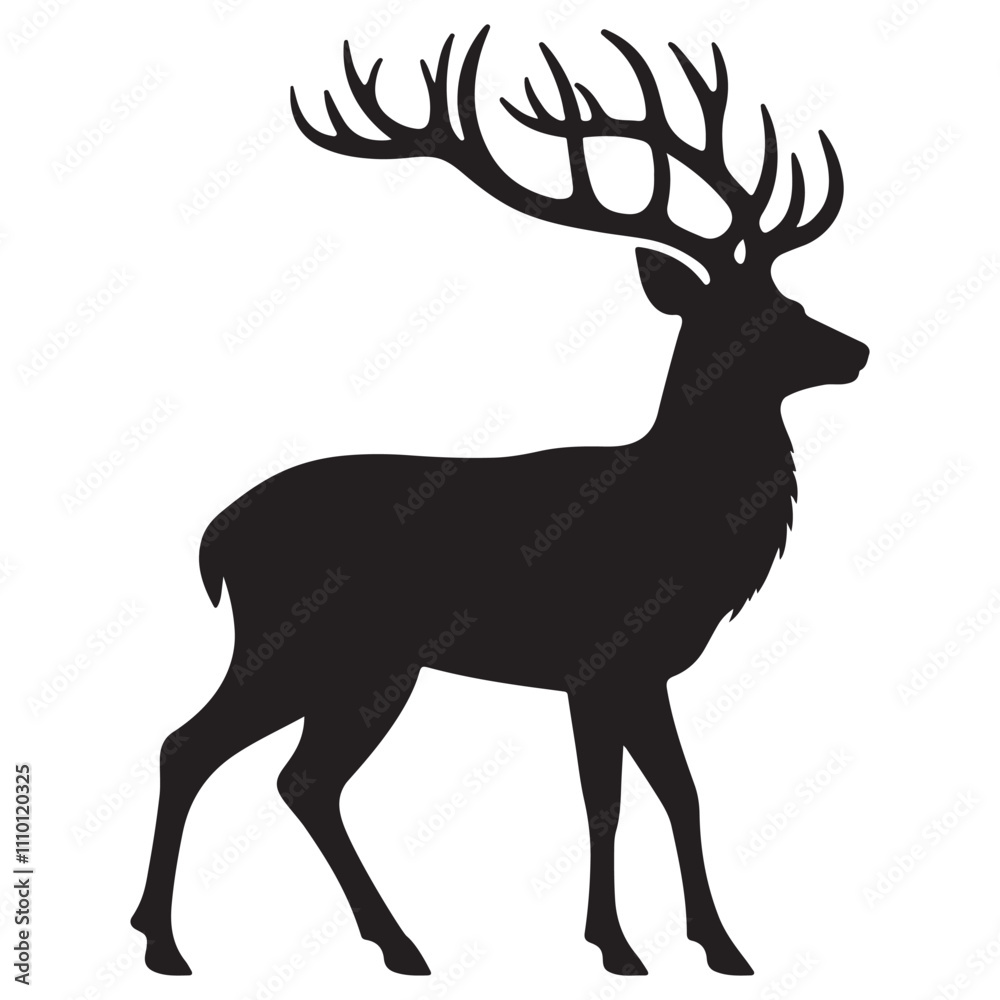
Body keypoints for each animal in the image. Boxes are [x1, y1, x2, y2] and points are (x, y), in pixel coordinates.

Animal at [131, 25, 868, 981]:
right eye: (748, 318)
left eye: (792, 299)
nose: (856, 350)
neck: (682, 519)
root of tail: (214, 542)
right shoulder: (599, 659)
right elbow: (605, 802)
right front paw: (617, 947)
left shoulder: (646, 671)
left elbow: (683, 793)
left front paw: (723, 946)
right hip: (297, 640)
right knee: (192, 745)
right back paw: (165, 943)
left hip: (368, 666)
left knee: (302, 779)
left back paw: (395, 943)